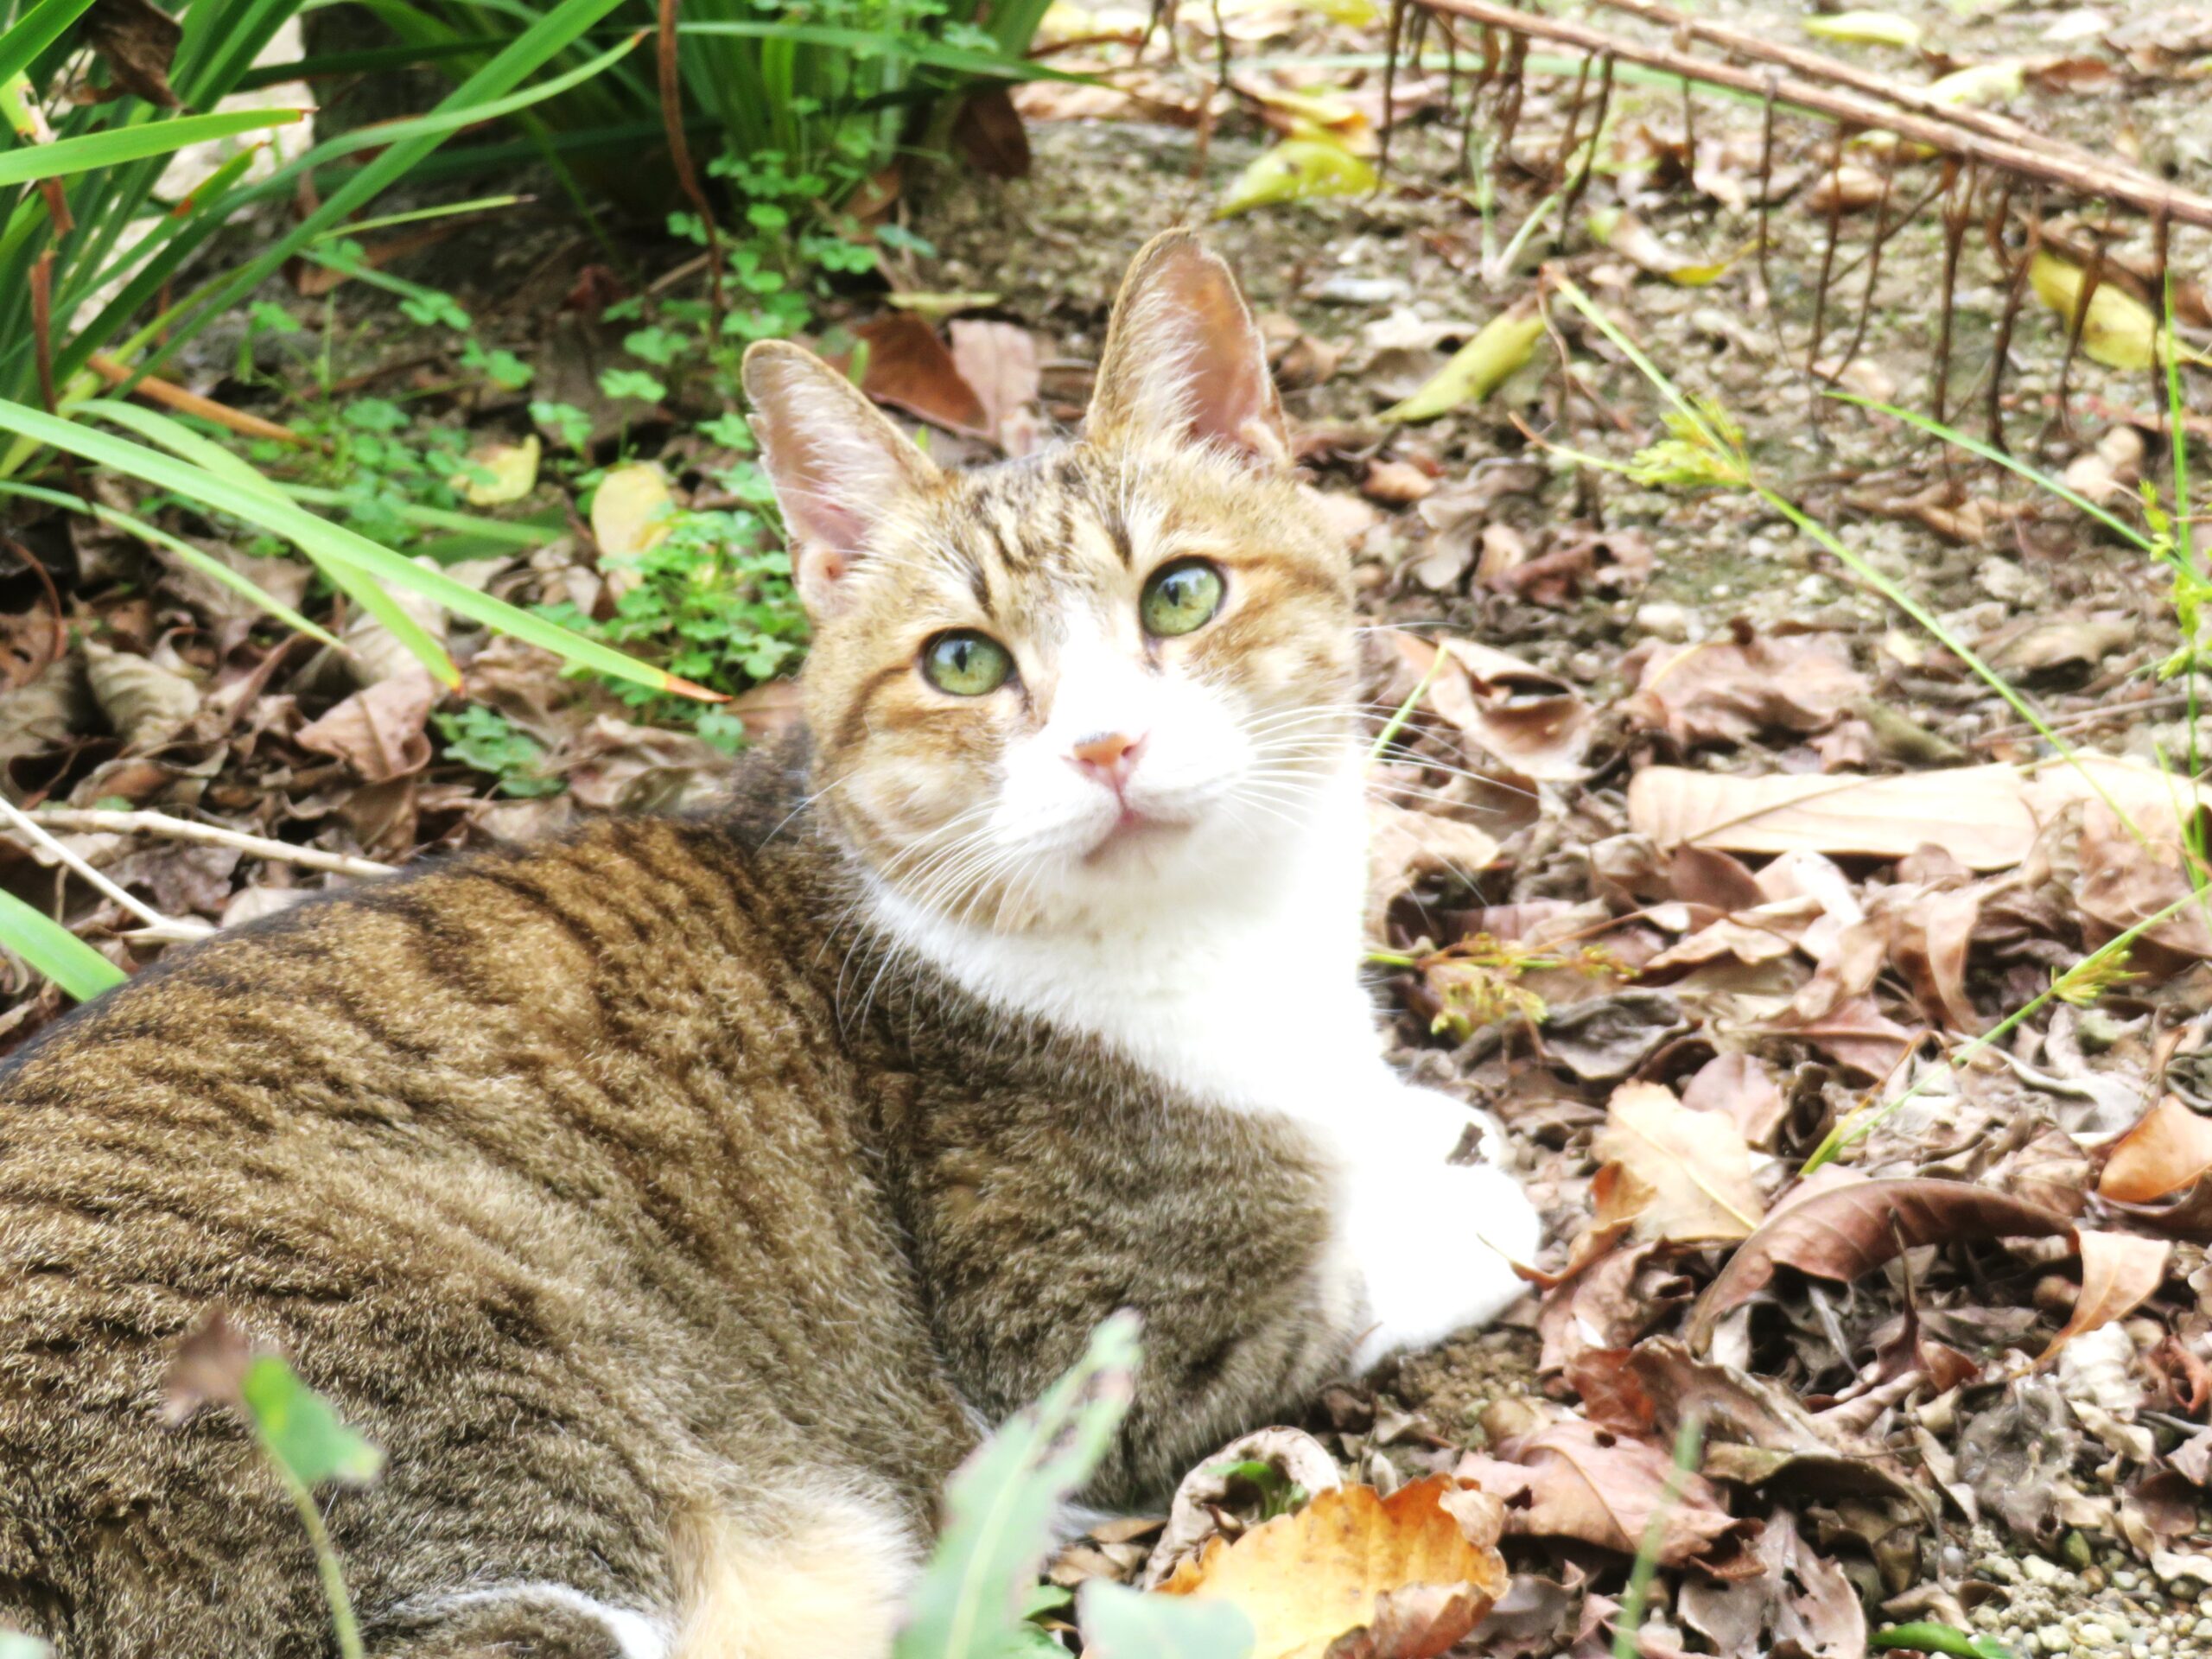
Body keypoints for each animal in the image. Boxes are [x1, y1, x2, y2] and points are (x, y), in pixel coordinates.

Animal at [0, 234, 1539, 1659]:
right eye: (964, 662)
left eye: (1181, 594)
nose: (1107, 743)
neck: (1226, 940)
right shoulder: (1089, 1351)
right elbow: (1348, 1287)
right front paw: (1466, 1205)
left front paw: (1416, 1129)